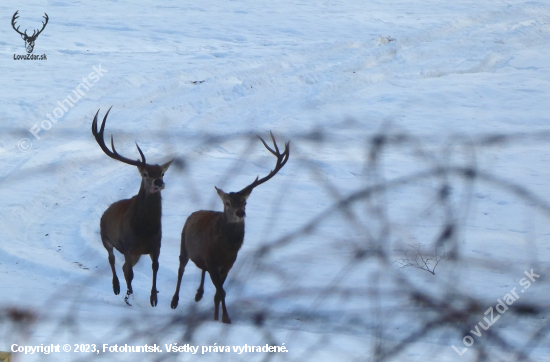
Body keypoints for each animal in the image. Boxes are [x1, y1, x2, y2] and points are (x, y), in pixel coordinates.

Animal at [92, 107, 172, 306]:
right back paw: (117, 287)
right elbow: (130, 274)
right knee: (113, 260)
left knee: (122, 266)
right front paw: (129, 296)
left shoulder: (156, 246)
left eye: (162, 173)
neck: (144, 229)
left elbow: (155, 268)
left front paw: (154, 298)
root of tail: (105, 212)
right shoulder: (128, 247)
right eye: (145, 173)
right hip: (106, 238)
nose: (159, 183)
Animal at [171, 132, 294, 322]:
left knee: (201, 270)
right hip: (183, 244)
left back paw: (198, 294)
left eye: (244, 202)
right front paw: (226, 319)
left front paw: (218, 318)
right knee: (181, 269)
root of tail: (193, 213)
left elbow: (218, 293)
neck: (225, 249)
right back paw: (174, 301)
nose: (240, 213)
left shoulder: (228, 264)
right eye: (227, 203)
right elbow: (221, 292)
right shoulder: (212, 261)